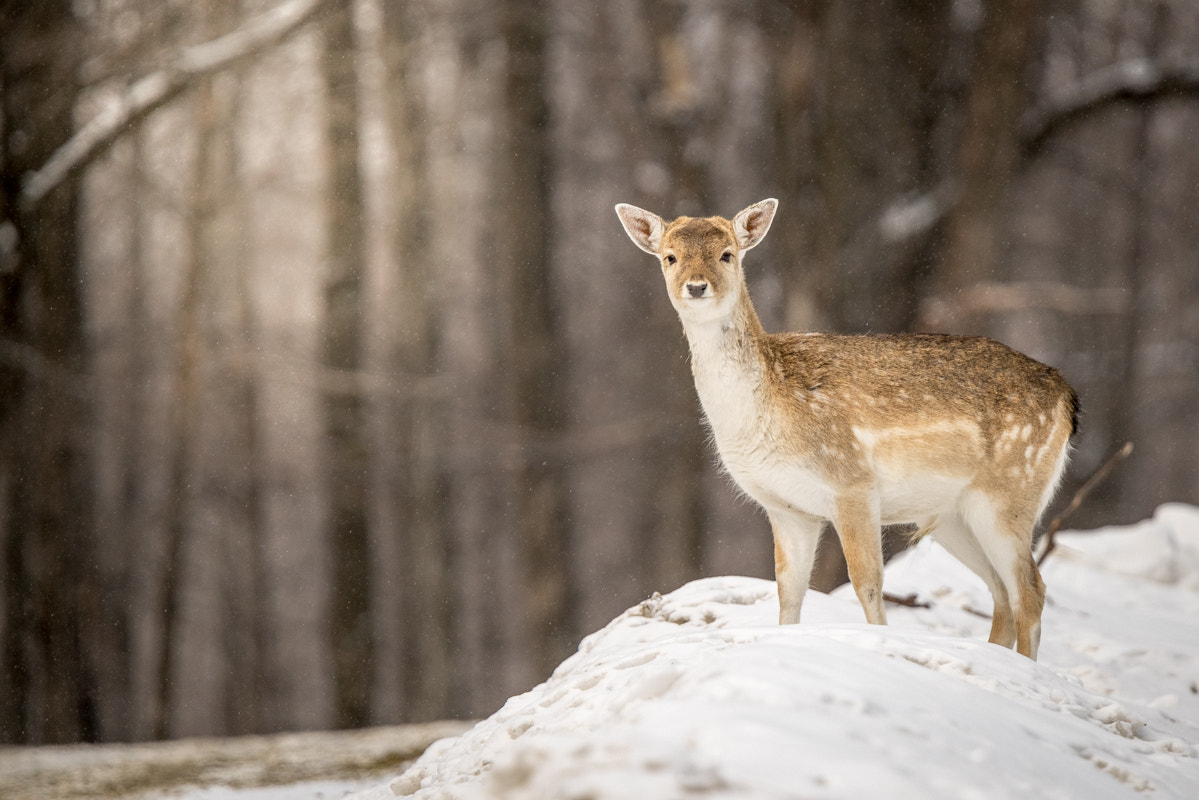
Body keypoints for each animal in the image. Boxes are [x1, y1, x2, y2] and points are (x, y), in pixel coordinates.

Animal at [618, 196, 1079, 662]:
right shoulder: (786, 507)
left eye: (726, 254)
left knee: (1030, 590)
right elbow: (788, 591)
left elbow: (867, 582)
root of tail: (1067, 398)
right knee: (1001, 593)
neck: (766, 412)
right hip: (953, 514)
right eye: (670, 257)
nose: (696, 286)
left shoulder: (851, 482)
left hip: (1010, 492)